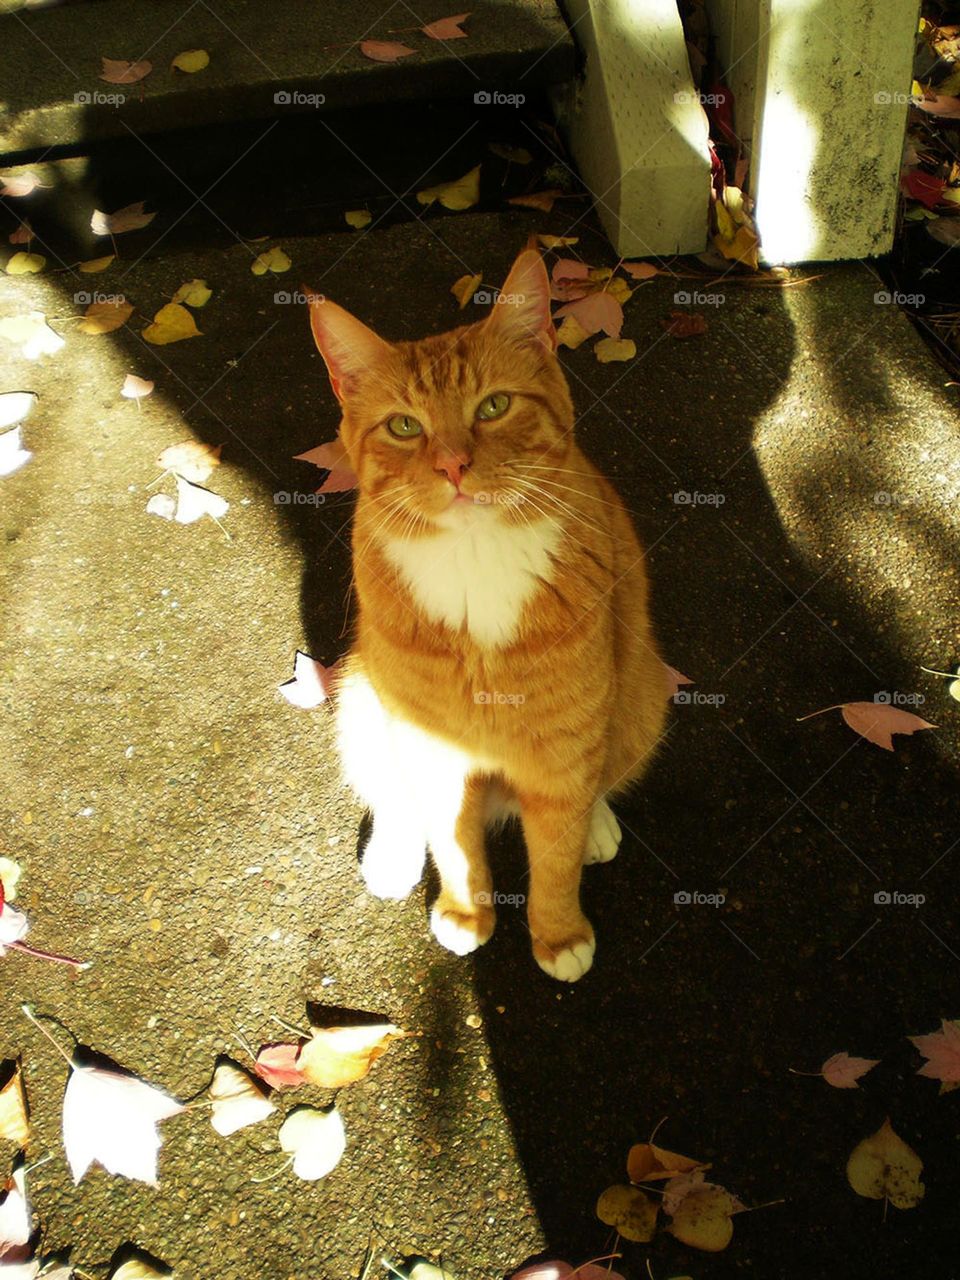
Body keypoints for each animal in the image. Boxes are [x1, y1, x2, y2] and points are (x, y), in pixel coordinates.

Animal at [308, 252, 670, 988]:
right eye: (404, 426)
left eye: (494, 406)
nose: (453, 465)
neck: (474, 564)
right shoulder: (432, 746)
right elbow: (452, 842)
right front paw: (467, 913)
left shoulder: (565, 742)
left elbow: (555, 851)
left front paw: (558, 935)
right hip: (362, 698)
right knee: (395, 798)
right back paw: (392, 856)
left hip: (642, 692)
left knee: (600, 780)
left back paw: (596, 825)